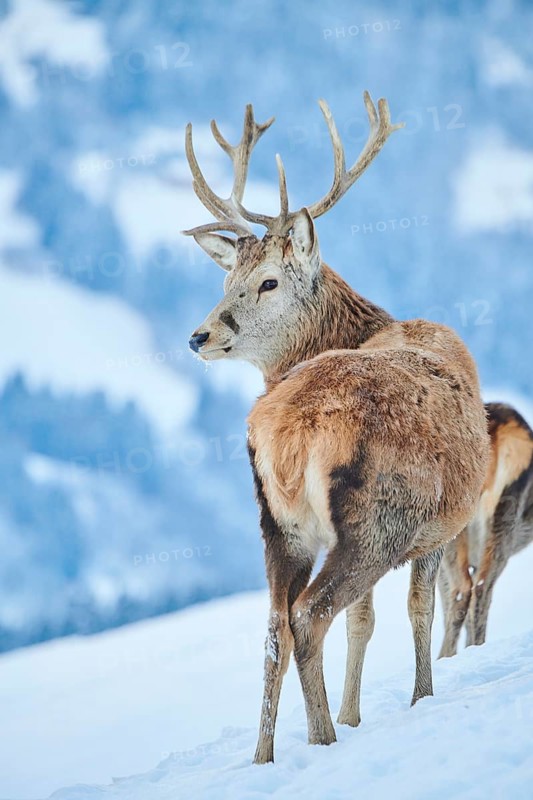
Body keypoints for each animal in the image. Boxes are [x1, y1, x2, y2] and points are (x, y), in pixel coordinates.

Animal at [183, 90, 490, 764]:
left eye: (266, 281)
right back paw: (321, 739)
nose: (200, 335)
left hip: (280, 526)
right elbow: (416, 608)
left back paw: (265, 756)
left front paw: (353, 714)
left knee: (275, 626)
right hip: (376, 520)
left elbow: (366, 621)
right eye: (226, 281)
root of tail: (288, 434)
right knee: (309, 614)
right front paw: (417, 699)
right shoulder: (436, 526)